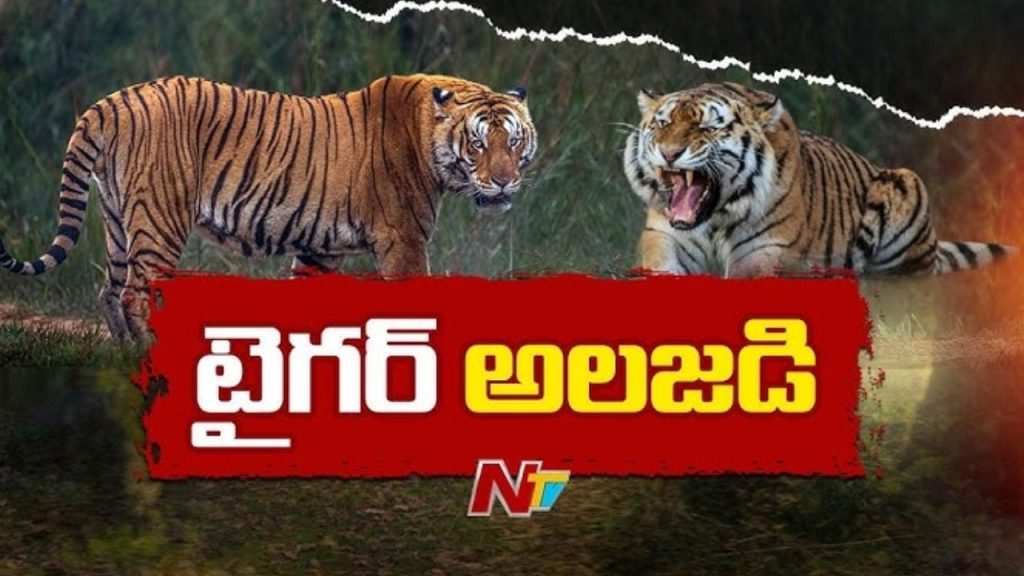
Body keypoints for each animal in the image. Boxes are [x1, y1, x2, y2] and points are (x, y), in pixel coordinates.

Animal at [0, 74, 537, 340]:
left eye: (513, 141)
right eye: (478, 143)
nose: (505, 181)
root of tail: (110, 102)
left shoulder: (321, 249)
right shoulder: (403, 240)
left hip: (117, 221)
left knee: (109, 294)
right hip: (159, 219)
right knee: (134, 296)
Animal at [623, 82, 1015, 277]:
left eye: (707, 127)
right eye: (662, 124)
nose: (668, 153)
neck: (715, 218)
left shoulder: (763, 251)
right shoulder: (664, 236)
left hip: (906, 185)